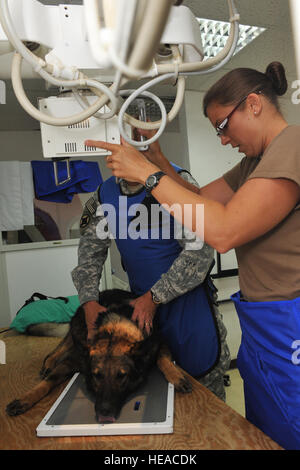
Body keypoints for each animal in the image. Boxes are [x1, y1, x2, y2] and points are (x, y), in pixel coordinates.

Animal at [6, 288, 192, 424]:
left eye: (122, 376)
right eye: (97, 376)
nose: (104, 411)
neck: (114, 332)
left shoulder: (160, 341)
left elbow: (162, 359)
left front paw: (176, 375)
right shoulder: (72, 361)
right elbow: (48, 381)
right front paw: (25, 398)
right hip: (76, 328)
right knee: (60, 347)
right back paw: (49, 363)